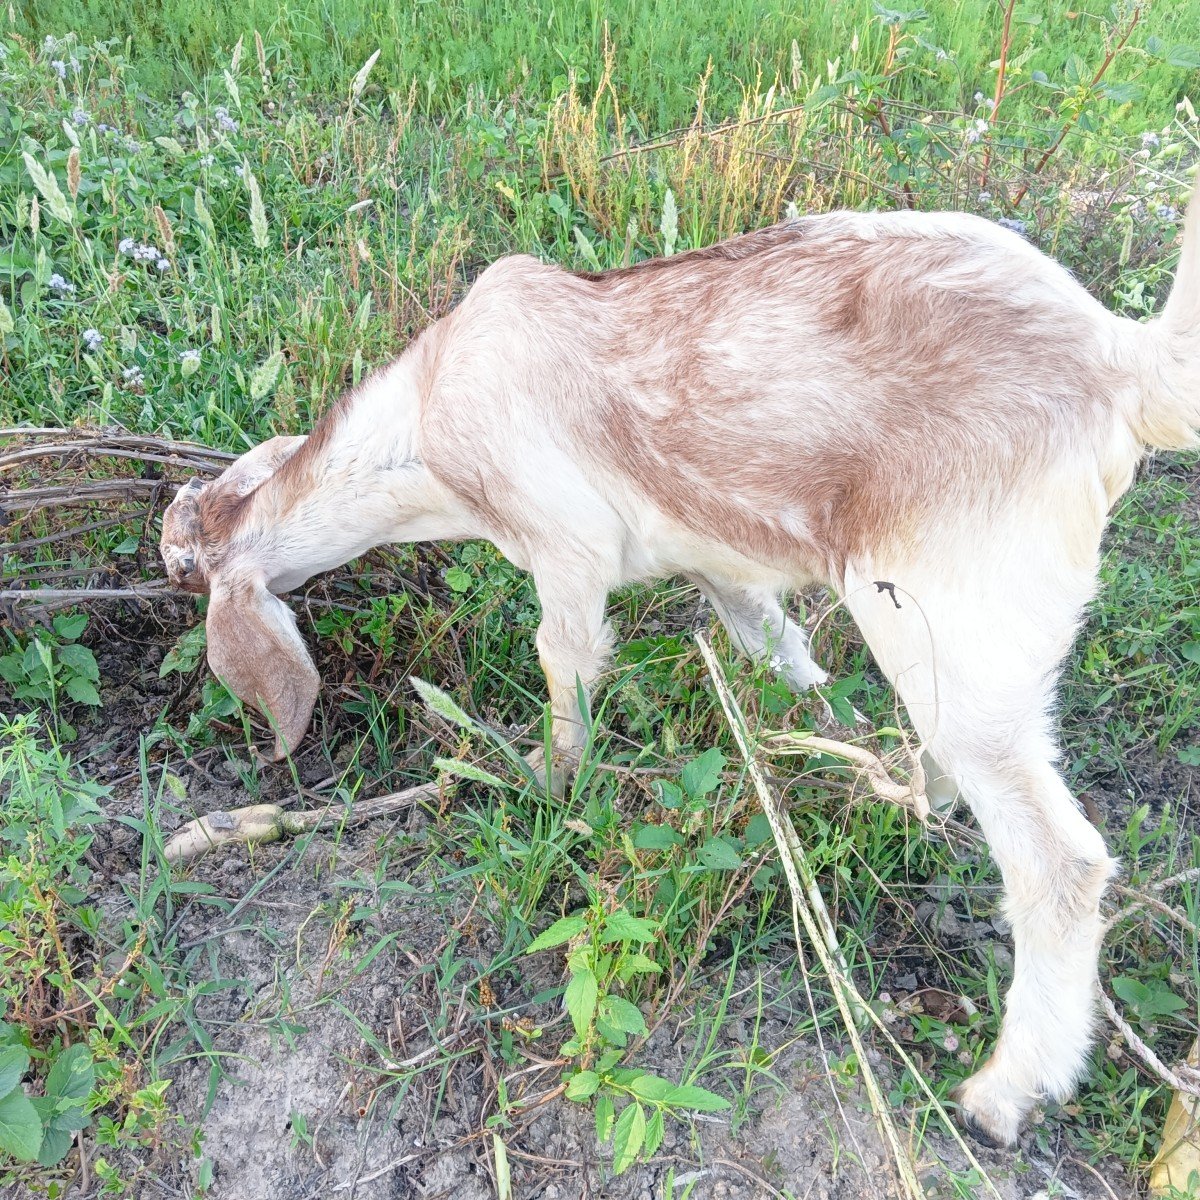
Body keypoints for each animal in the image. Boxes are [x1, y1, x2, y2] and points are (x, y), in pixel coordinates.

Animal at [160, 194, 1200, 1147]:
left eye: (186, 569)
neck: (417, 431)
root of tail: (1120, 362)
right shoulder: (715, 561)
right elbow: (775, 645)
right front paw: (816, 729)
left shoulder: (567, 546)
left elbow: (563, 663)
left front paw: (550, 780)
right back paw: (903, 788)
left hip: (952, 618)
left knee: (1061, 861)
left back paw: (1004, 1092)